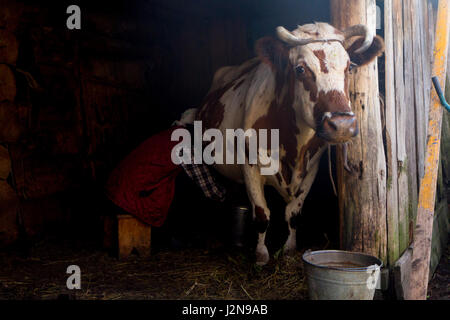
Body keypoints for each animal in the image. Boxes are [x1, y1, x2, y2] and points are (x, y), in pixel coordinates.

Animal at [195, 22, 384, 264]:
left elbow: (293, 213)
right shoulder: (250, 166)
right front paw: (261, 255)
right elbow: (261, 214)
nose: (342, 124)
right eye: (300, 69)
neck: (293, 146)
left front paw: (290, 248)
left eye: (350, 66)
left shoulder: (311, 167)